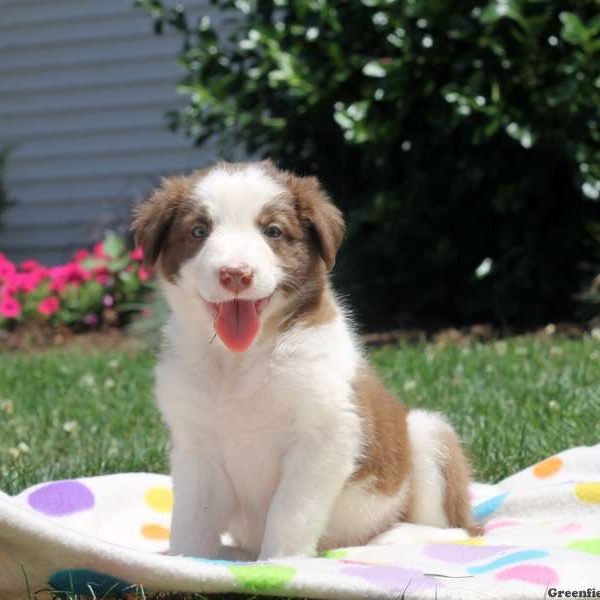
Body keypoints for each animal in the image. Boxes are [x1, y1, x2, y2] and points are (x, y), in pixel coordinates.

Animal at [132, 161, 478, 564]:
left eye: (273, 231)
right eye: (199, 231)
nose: (235, 274)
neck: (240, 361)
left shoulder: (324, 435)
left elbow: (290, 511)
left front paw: (277, 565)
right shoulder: (195, 442)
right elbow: (191, 517)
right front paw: (186, 561)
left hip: (428, 435)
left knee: (459, 530)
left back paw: (396, 537)